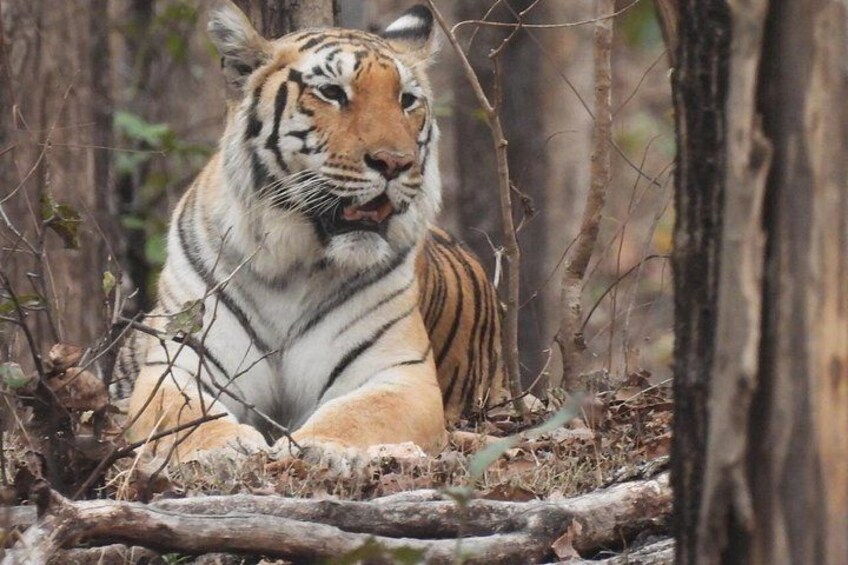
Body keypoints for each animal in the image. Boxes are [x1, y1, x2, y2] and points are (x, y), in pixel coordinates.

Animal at [113, 1, 505, 460]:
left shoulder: (402, 375)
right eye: (333, 93)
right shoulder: (179, 364)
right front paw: (225, 449)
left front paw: (316, 446)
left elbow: (358, 414)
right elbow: (186, 418)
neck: (291, 262)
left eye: (407, 100)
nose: (395, 162)